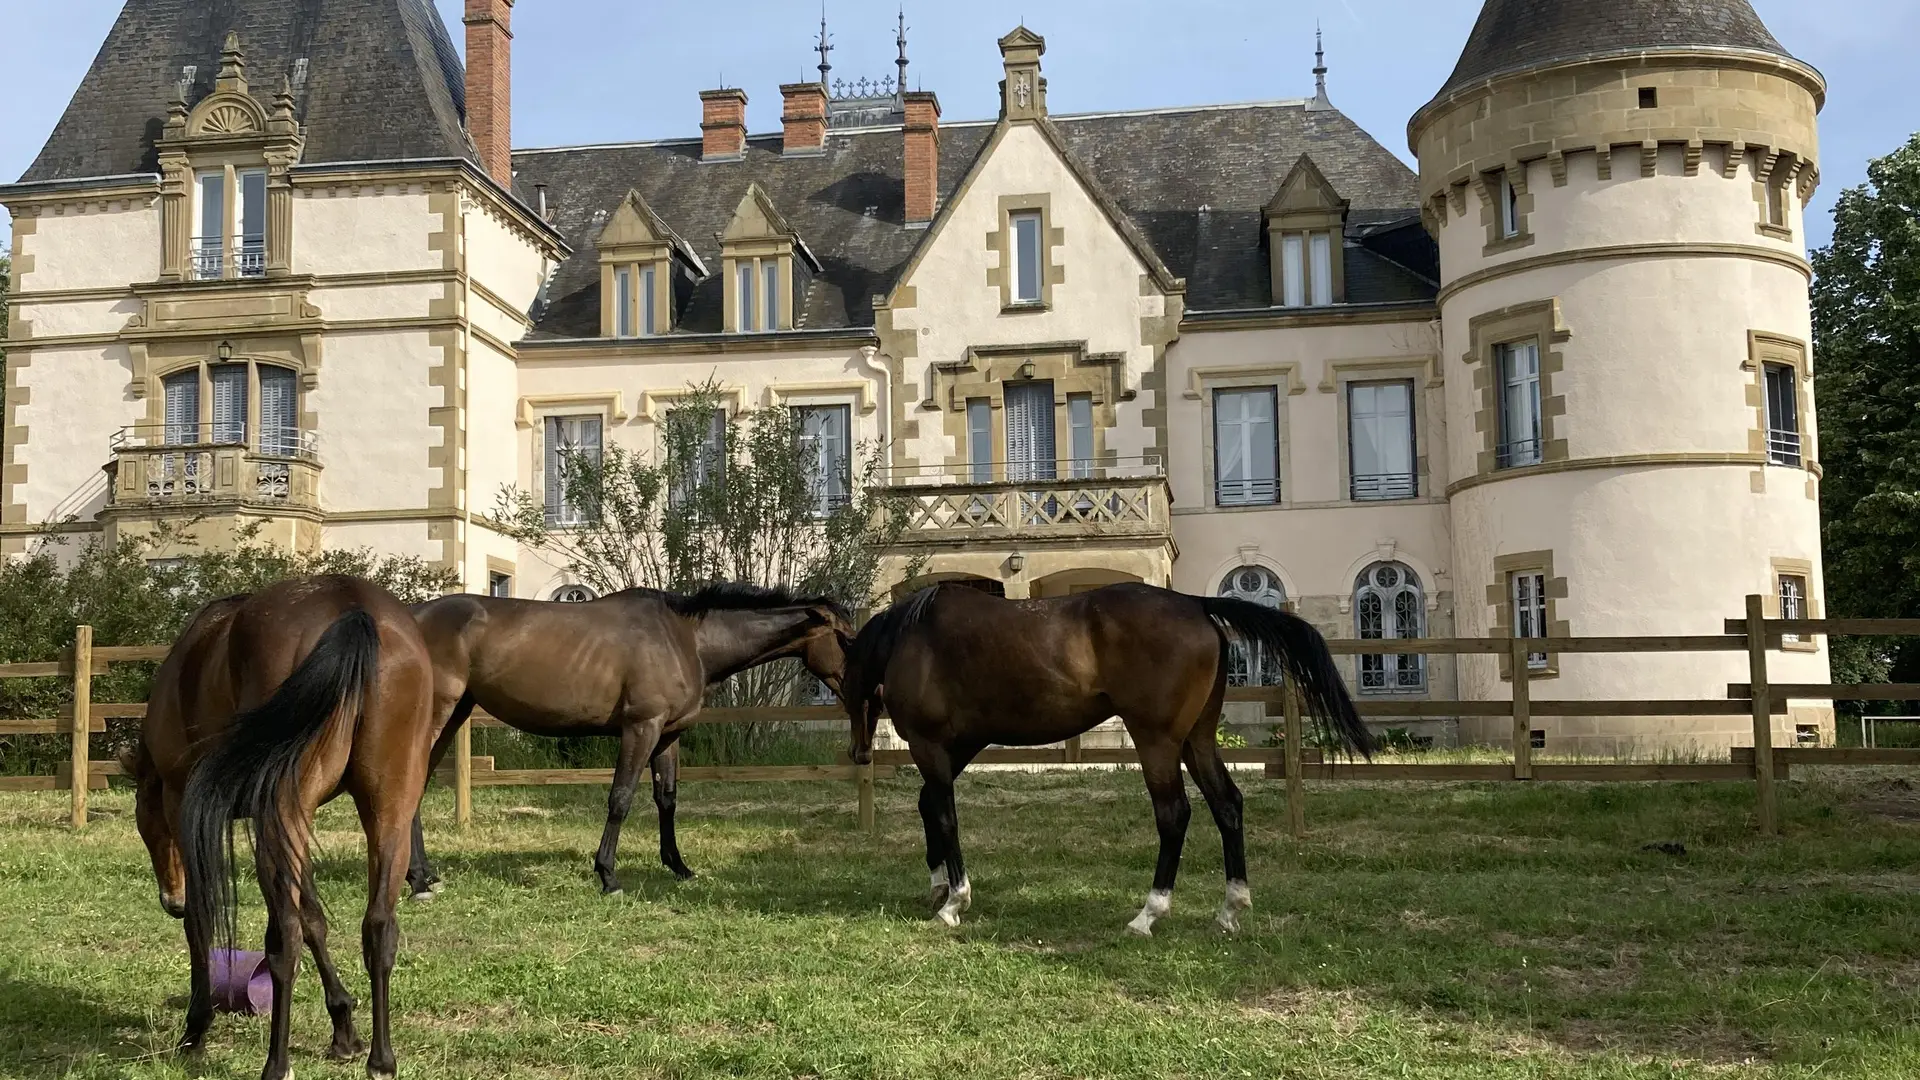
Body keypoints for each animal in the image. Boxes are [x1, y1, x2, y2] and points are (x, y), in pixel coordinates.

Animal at [126, 576, 439, 1076]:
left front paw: (195, 1029)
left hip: (287, 813)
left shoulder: (187, 808)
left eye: (145, 824)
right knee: (379, 927)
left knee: (284, 938)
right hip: (387, 811)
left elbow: (204, 922)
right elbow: (315, 919)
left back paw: (277, 1063)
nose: (169, 901)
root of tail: (353, 606)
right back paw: (381, 1059)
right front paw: (343, 1027)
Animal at [407, 580, 856, 891]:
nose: (857, 688)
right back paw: (417, 881)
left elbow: (667, 799)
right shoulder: (641, 727)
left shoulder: (667, 735)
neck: (687, 639)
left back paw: (425, 876)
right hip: (437, 715)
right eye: (846, 638)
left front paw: (679, 866)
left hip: (453, 716)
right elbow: (620, 798)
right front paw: (608, 875)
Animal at [840, 580, 1367, 933]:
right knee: (1227, 805)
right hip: (1196, 741)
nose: (859, 752)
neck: (912, 639)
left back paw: (1149, 913)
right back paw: (1229, 908)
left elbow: (945, 816)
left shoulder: (931, 746)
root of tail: (1196, 605)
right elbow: (930, 806)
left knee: (1175, 814)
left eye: (843, 686)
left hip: (1157, 742)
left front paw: (954, 901)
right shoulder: (961, 745)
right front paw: (939, 888)